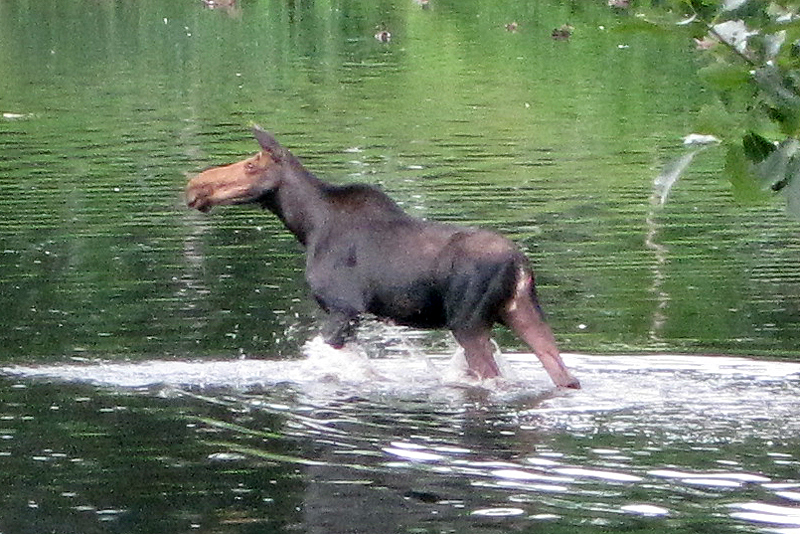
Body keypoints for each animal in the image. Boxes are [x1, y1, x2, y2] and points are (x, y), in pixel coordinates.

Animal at [184, 127, 580, 392]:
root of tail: (521, 264)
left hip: (468, 322)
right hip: (520, 310)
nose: (195, 186)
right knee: (563, 374)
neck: (307, 225)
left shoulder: (343, 308)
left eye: (252, 165)